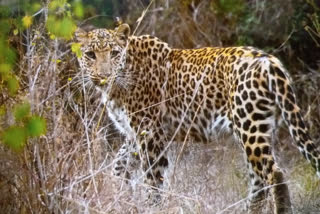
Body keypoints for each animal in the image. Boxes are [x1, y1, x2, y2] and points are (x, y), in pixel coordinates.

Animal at [75, 23, 320, 214]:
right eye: (90, 55)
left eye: (114, 53)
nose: (103, 76)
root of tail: (271, 62)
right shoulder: (134, 134)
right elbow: (119, 162)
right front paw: (118, 187)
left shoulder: (150, 134)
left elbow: (153, 179)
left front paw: (149, 206)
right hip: (257, 128)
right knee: (258, 179)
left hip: (249, 126)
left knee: (274, 174)